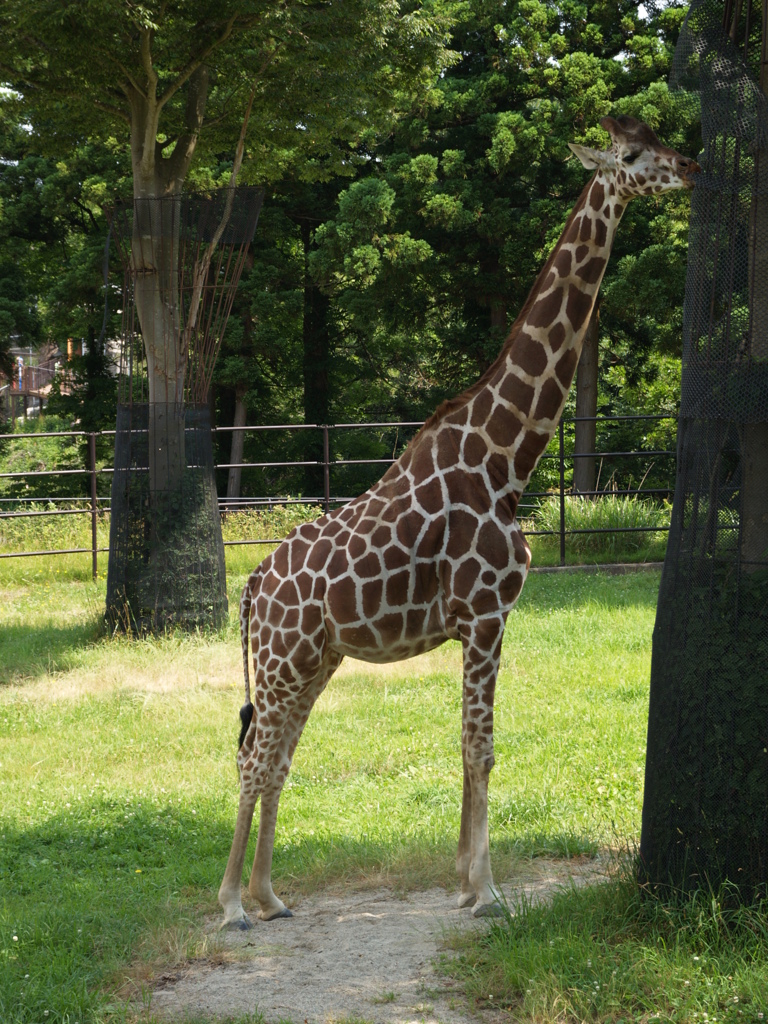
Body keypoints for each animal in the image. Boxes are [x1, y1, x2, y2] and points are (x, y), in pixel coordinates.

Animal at [219, 117, 700, 929]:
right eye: (633, 155)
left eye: (660, 139)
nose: (691, 166)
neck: (507, 460)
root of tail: (252, 588)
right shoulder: (484, 613)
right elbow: (481, 747)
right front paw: (487, 891)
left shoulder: (487, 619)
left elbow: (473, 746)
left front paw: (468, 882)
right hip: (285, 659)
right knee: (255, 758)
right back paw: (230, 905)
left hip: (316, 659)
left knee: (277, 756)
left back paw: (270, 895)